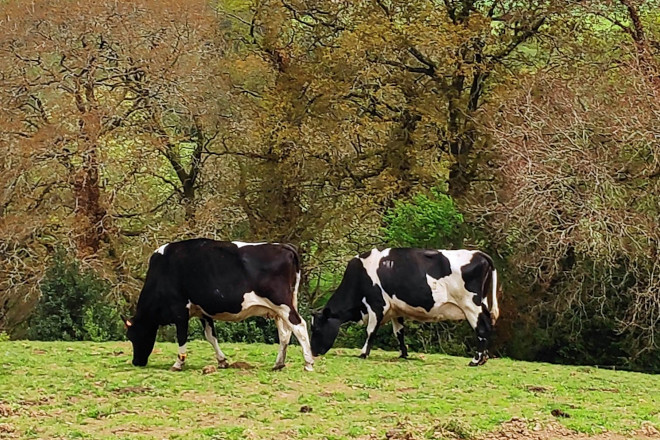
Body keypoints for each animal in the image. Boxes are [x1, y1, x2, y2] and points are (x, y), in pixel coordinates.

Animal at [122, 239, 314, 372]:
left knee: (299, 326)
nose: (136, 362)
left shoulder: (180, 310)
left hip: (282, 304)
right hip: (278, 309)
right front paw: (222, 361)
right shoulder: (203, 311)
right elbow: (210, 336)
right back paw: (278, 364)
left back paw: (308, 363)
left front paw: (178, 363)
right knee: (285, 333)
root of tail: (284, 246)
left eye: (132, 336)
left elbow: (182, 336)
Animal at [310, 248, 499, 366]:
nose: (313, 351)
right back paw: (483, 359)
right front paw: (403, 354)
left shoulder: (377, 305)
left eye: (317, 329)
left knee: (482, 328)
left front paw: (363, 353)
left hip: (471, 305)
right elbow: (399, 333)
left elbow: (371, 331)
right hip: (480, 303)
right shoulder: (396, 309)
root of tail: (478, 253)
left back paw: (475, 361)